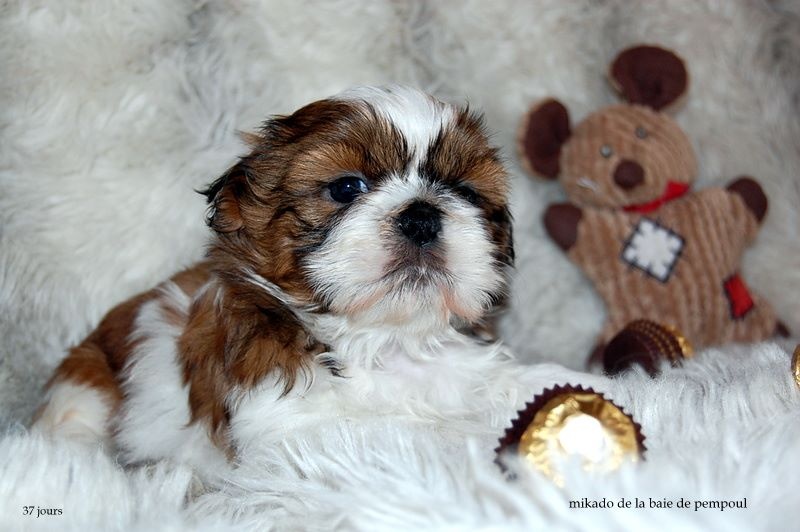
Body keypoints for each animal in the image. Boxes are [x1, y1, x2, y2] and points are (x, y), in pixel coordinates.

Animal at [32, 87, 512, 478]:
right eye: (346, 188)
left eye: (465, 193)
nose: (421, 217)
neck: (383, 341)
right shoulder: (291, 428)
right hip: (86, 387)